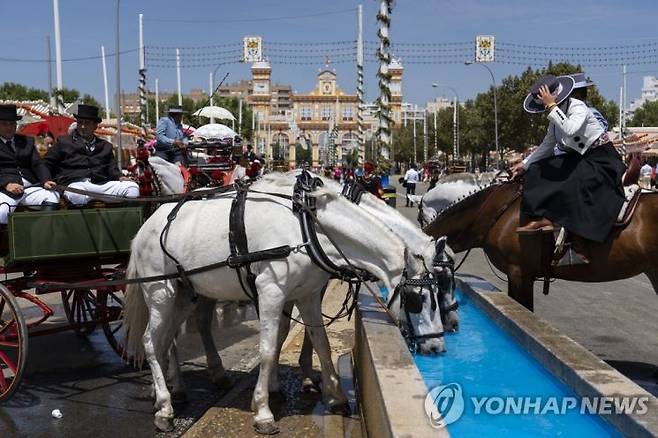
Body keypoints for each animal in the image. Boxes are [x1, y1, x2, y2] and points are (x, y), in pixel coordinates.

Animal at [121, 175, 440, 434]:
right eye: (416, 299)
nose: (436, 347)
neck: (308, 227)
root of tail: (145, 227)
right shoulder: (270, 291)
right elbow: (267, 347)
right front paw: (263, 410)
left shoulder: (308, 293)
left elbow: (320, 342)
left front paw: (334, 396)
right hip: (160, 292)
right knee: (151, 341)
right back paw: (165, 407)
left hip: (186, 293)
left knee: (168, 339)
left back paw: (171, 391)